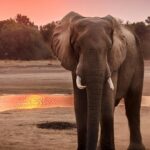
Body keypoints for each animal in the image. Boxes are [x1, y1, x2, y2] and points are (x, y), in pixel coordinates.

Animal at [49, 11, 145, 149]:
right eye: (77, 46)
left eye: (109, 47)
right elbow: (80, 105)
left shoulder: (113, 60)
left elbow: (105, 105)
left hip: (138, 60)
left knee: (133, 105)